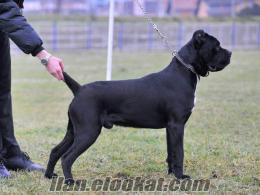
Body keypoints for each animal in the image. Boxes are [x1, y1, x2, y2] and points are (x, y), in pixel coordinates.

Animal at [44, 29, 232, 184]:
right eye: (217, 46)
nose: (230, 53)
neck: (183, 72)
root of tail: (79, 89)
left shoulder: (170, 128)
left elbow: (171, 153)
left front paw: (171, 174)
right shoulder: (177, 125)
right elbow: (179, 153)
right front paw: (180, 177)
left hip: (74, 131)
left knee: (55, 151)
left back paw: (49, 175)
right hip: (88, 131)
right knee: (67, 157)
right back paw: (70, 181)